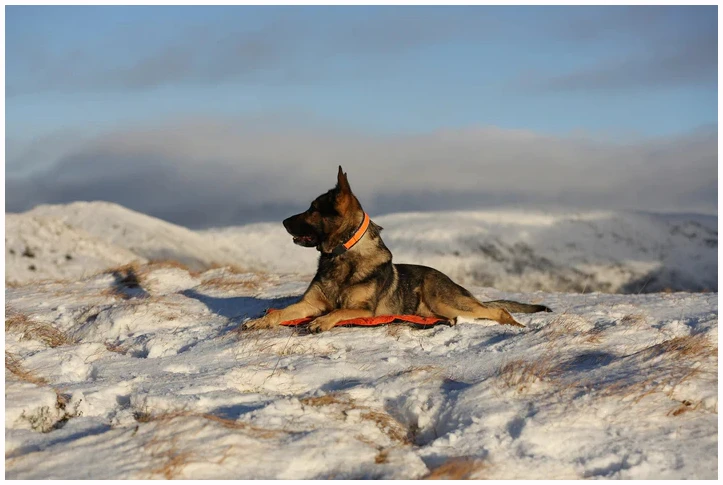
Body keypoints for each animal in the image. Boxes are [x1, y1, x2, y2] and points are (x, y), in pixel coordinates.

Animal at [244, 166, 551, 333]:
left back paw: (515, 326)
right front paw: (261, 320)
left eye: (312, 209)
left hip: (445, 300)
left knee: (497, 310)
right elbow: (281, 312)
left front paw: (322, 322)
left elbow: (337, 312)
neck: (343, 254)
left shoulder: (363, 311)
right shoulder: (309, 304)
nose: (283, 221)